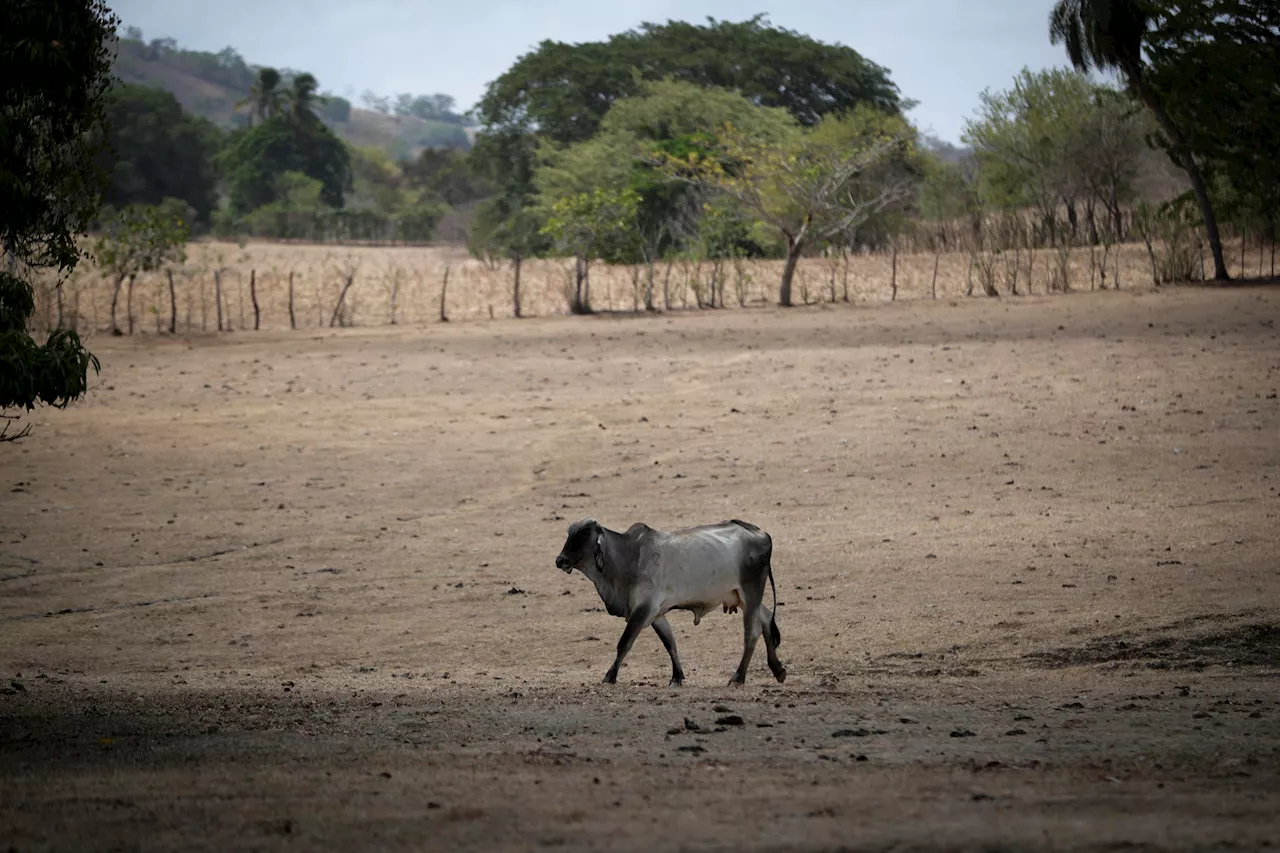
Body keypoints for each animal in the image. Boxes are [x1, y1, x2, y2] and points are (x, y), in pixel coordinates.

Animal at [555, 512, 783, 686]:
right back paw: (778, 669)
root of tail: (761, 533)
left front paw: (610, 676)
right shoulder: (657, 614)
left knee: (751, 633)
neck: (629, 557)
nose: (560, 560)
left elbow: (624, 643)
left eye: (584, 534)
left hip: (751, 592)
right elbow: (670, 643)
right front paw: (677, 677)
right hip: (744, 597)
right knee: (766, 618)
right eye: (569, 534)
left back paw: (738, 677)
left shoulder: (643, 609)